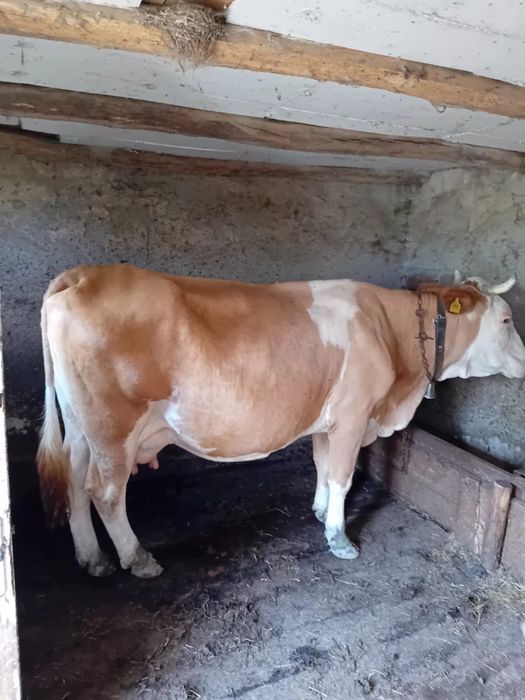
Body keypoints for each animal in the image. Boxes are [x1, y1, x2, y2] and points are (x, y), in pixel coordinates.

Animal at [37, 264, 525, 577]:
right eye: (507, 318)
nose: (524, 361)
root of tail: (81, 275)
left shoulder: (329, 419)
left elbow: (323, 466)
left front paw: (320, 511)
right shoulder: (353, 413)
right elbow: (343, 475)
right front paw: (340, 538)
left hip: (81, 427)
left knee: (74, 482)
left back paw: (93, 559)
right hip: (113, 426)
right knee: (105, 493)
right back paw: (137, 559)